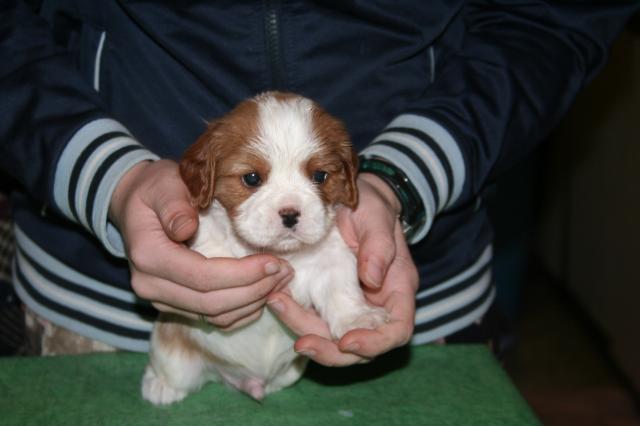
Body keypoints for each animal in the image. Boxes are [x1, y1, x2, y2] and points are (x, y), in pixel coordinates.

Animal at [142, 91, 388, 404]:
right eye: (251, 178)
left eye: (320, 176)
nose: (290, 214)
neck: (284, 254)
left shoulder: (332, 257)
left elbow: (341, 287)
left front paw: (358, 319)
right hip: (171, 349)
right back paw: (161, 385)